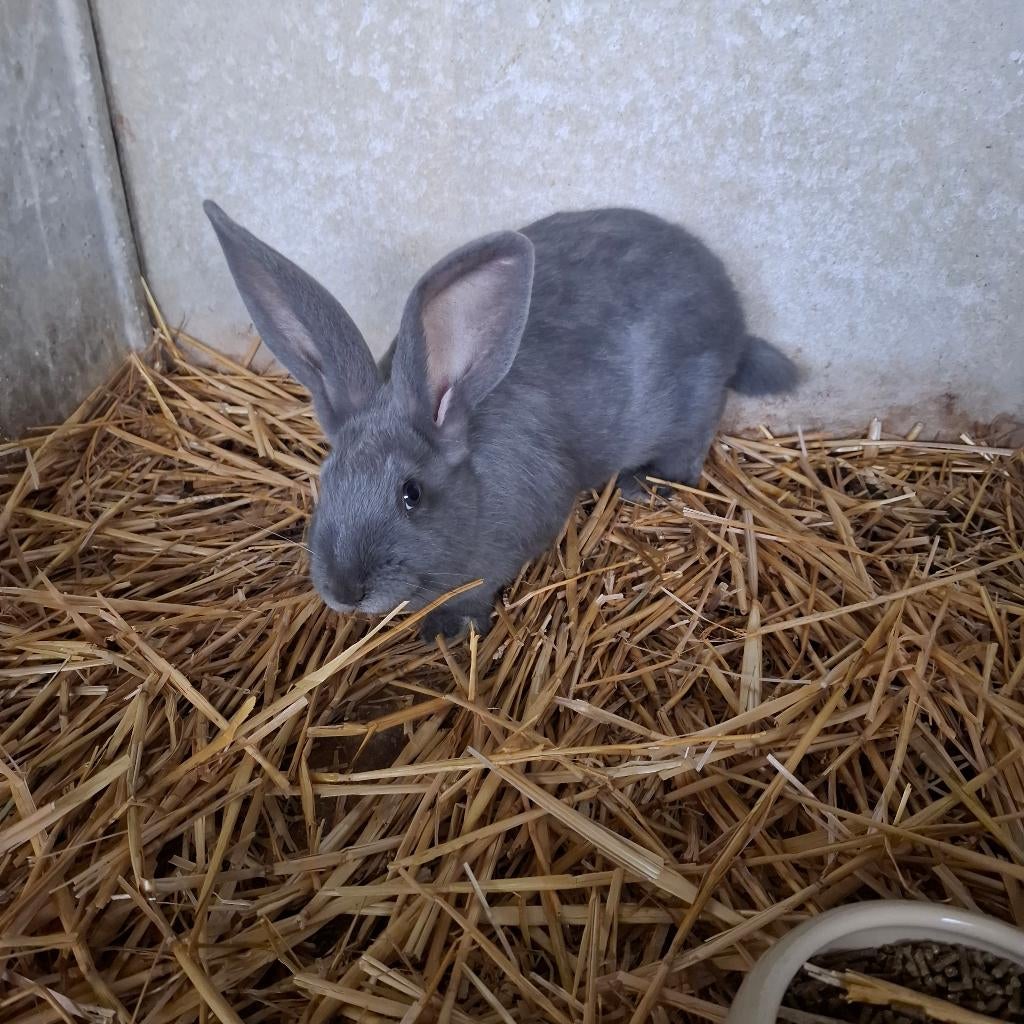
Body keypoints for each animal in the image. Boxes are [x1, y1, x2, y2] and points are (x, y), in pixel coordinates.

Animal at [203, 202, 799, 642]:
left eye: (411, 495)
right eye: (325, 482)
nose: (346, 591)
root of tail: (734, 323)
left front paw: (448, 630)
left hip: (692, 402)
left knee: (691, 448)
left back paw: (645, 483)